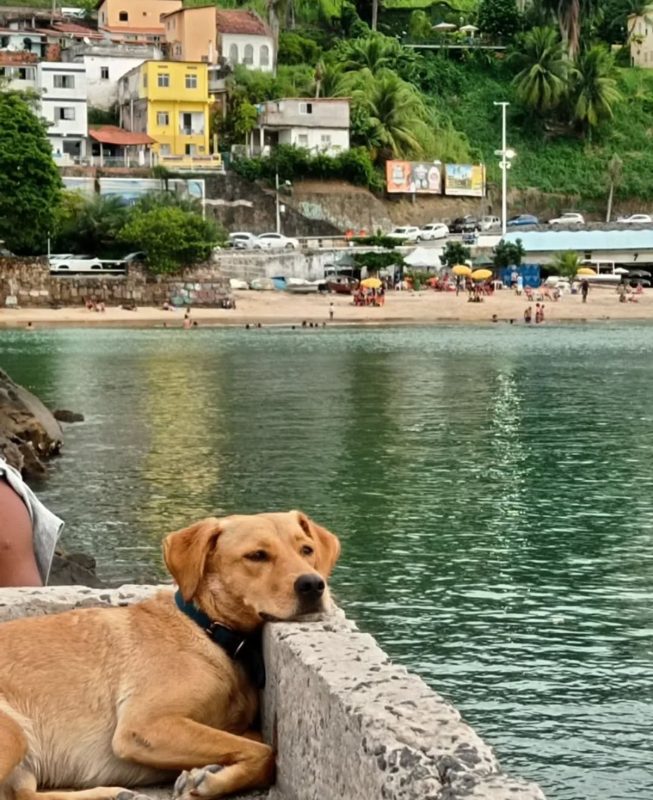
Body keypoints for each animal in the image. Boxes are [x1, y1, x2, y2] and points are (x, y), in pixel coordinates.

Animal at [0, 512, 338, 800]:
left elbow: (253, 741)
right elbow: (265, 751)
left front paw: (210, 772)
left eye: (306, 550)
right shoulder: (145, 725)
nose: (312, 584)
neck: (208, 630)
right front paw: (208, 781)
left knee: (23, 794)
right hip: (15, 734)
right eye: (256, 556)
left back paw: (116, 793)